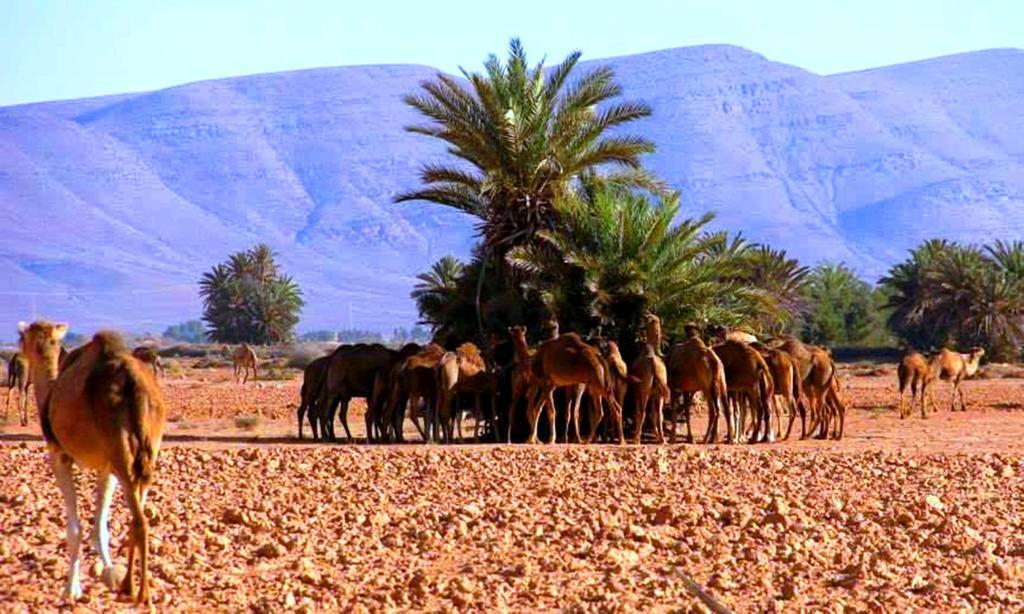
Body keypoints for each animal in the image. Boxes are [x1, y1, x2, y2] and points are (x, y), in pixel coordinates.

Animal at [18, 321, 165, 605]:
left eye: (21, 337)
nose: (18, 350)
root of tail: (136, 386)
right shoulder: (105, 468)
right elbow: (100, 528)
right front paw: (108, 572)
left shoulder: (59, 455)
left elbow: (75, 529)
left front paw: (71, 589)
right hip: (146, 456)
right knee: (138, 515)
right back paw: (129, 584)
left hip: (122, 455)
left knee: (140, 521)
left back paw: (140, 593)